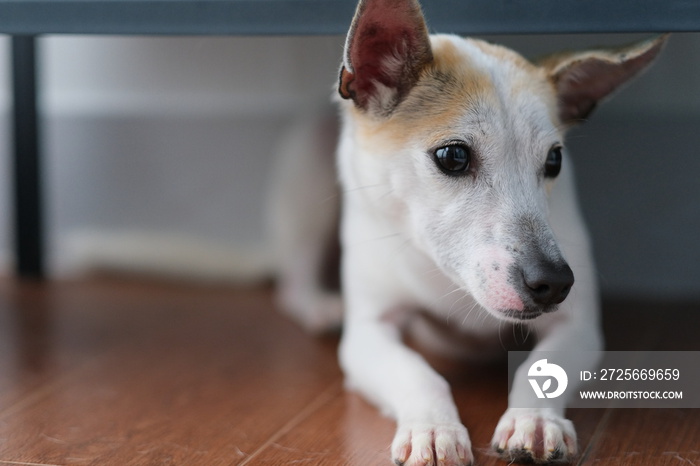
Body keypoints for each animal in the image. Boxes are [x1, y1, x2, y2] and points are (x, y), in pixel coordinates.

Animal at [270, 0, 668, 462]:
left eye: (554, 161)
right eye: (453, 156)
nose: (554, 283)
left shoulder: (579, 326)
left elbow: (541, 366)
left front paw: (535, 419)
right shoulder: (368, 333)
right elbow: (418, 373)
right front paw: (433, 427)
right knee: (293, 280)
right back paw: (318, 306)